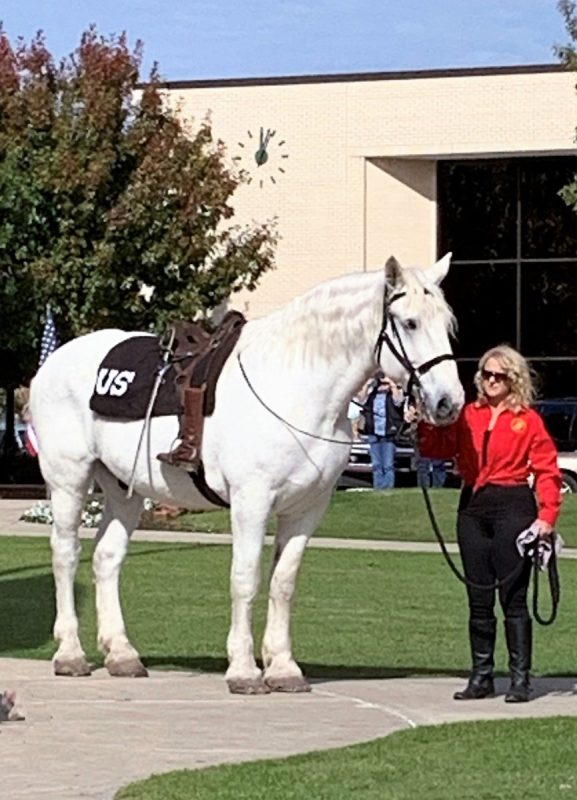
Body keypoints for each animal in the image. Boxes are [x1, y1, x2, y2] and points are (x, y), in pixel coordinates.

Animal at [29, 253, 464, 694]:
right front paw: (243, 669)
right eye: (410, 322)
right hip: (69, 480)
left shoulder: (308, 508)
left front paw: (283, 668)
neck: (293, 386)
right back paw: (70, 654)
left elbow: (283, 582)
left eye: (446, 324)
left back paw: (122, 655)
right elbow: (245, 577)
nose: (449, 401)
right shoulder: (251, 501)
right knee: (66, 554)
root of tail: (54, 362)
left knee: (106, 557)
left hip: (125, 490)